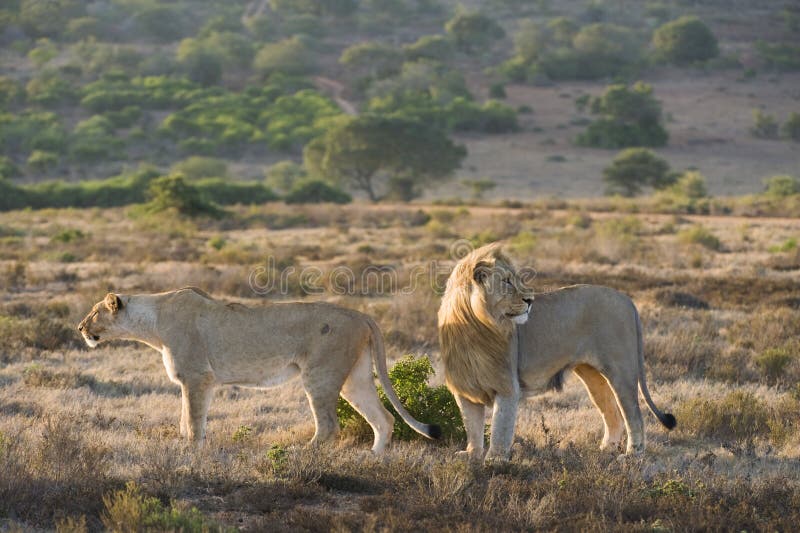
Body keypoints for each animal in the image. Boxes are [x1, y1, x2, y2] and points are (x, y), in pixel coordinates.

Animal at [78, 286, 440, 448]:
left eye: (95, 312)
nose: (80, 327)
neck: (153, 323)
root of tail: (361, 314)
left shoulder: (197, 377)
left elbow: (193, 423)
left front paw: (192, 455)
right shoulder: (197, 382)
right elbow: (186, 421)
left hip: (320, 374)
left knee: (329, 426)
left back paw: (300, 455)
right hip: (356, 377)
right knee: (384, 419)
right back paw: (375, 459)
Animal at [438, 243, 676, 460]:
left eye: (517, 279)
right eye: (506, 281)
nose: (530, 300)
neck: (473, 328)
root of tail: (627, 299)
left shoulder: (507, 386)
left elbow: (500, 427)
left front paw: (495, 460)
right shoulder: (463, 388)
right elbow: (472, 425)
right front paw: (471, 455)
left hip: (621, 370)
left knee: (634, 414)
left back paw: (632, 455)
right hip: (592, 375)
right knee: (612, 412)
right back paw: (606, 448)